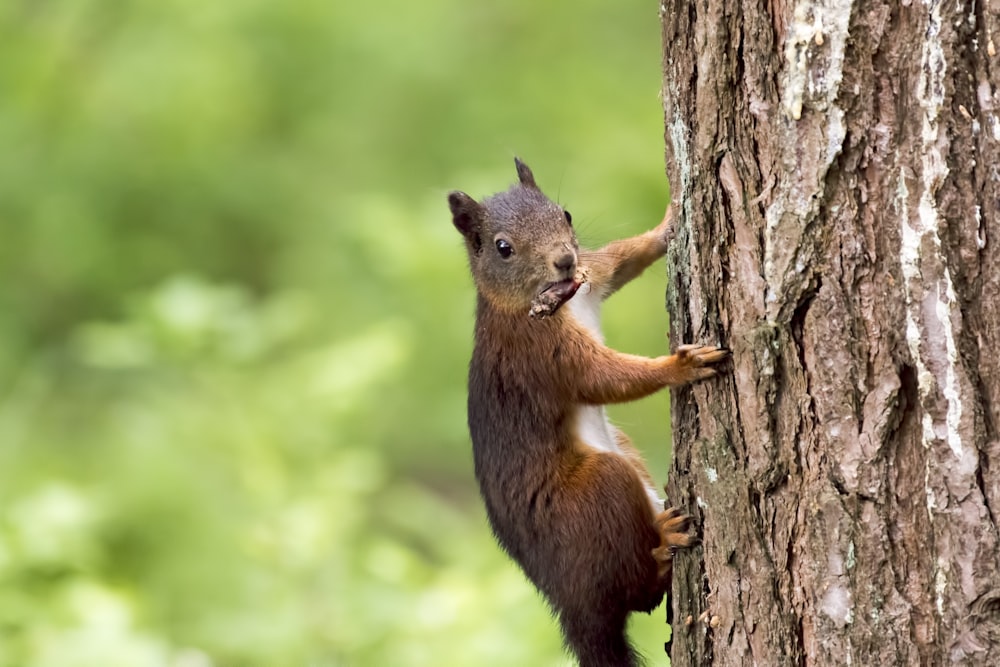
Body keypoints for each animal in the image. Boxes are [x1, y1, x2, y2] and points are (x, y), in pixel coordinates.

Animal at [448, 159, 728, 664]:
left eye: (566, 214)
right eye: (503, 247)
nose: (563, 260)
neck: (556, 296)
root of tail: (570, 606)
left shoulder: (592, 273)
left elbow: (624, 258)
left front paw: (669, 223)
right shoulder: (542, 352)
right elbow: (603, 378)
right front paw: (680, 365)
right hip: (600, 488)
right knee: (637, 595)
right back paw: (664, 549)